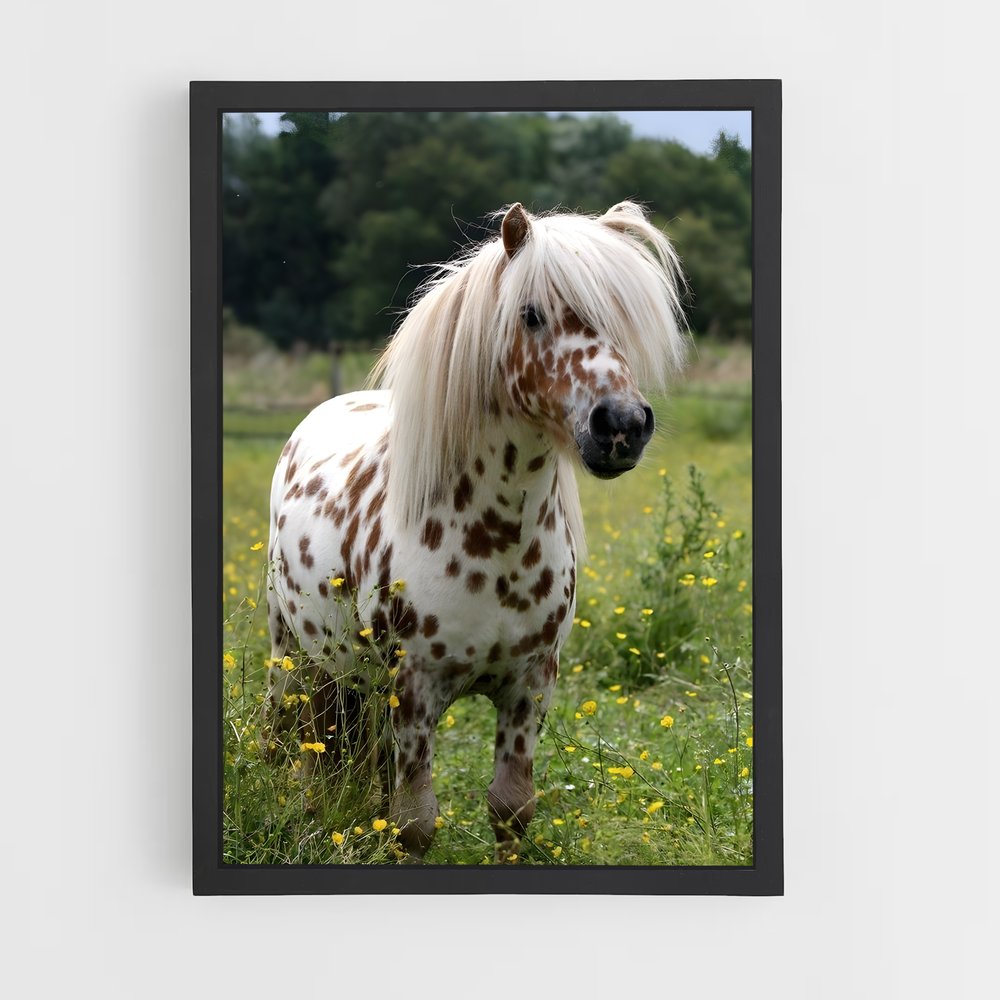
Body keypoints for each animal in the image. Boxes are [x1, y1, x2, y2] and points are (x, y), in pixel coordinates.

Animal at [262, 201, 687, 862]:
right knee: (305, 741)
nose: (621, 425)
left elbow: (511, 808)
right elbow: (413, 823)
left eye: (623, 316)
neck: (495, 541)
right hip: (296, 656)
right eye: (531, 314)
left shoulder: (529, 687)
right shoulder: (413, 690)